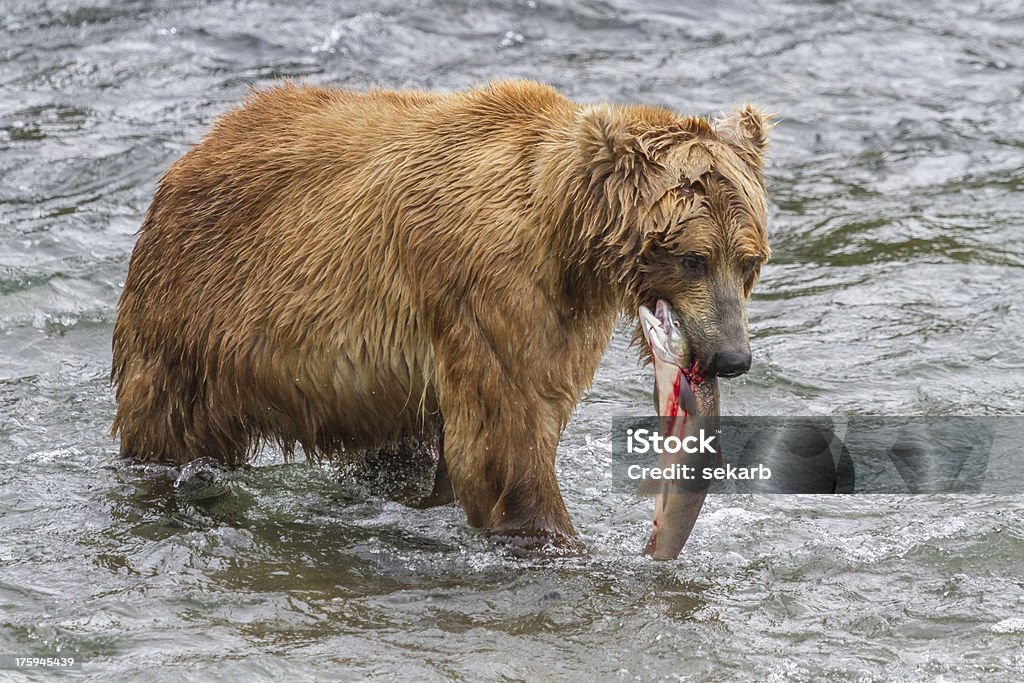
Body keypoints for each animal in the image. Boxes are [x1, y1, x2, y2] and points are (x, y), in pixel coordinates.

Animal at [110, 81, 770, 544]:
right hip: (193, 321)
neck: (566, 237)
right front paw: (556, 536)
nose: (732, 356)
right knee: (165, 430)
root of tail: (193, 153)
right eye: (693, 258)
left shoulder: (564, 318)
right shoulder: (490, 289)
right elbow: (505, 443)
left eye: (749, 261)